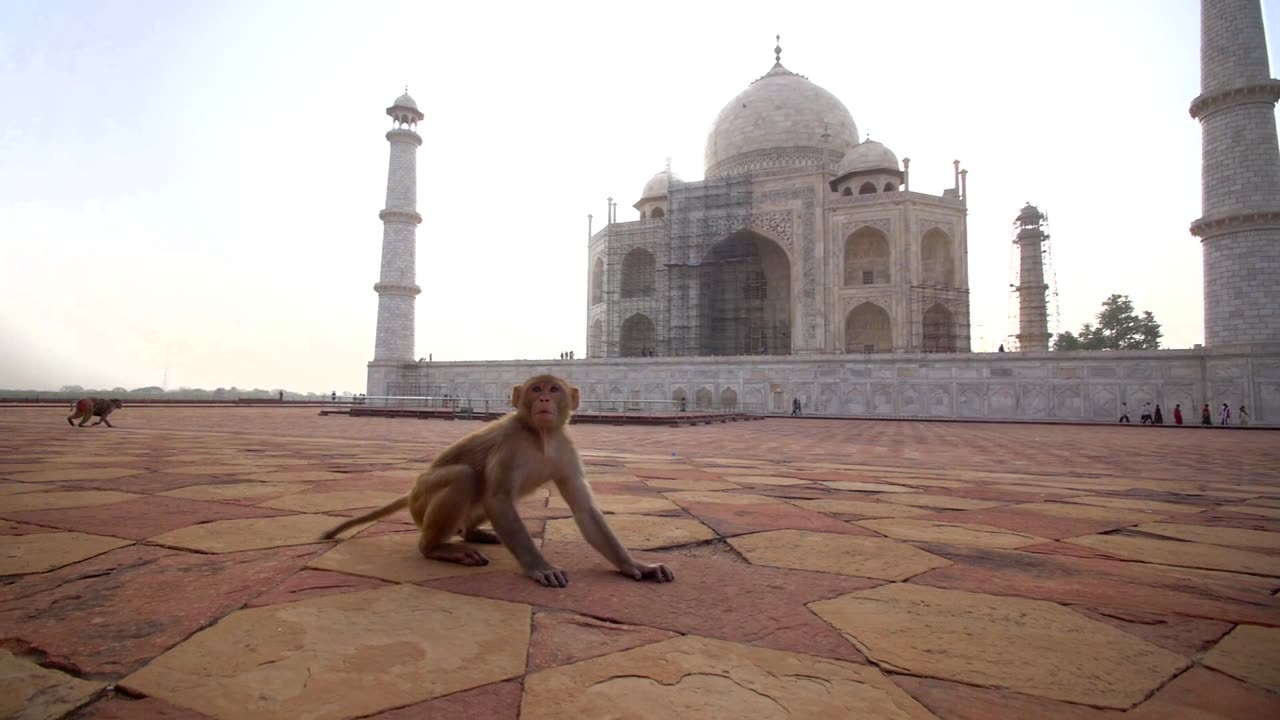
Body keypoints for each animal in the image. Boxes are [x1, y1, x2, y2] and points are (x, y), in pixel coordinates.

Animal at [322, 374, 674, 588]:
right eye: (536, 389)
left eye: (554, 390)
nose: (544, 401)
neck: (539, 436)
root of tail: (411, 493)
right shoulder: (510, 442)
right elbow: (499, 499)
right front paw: (540, 566)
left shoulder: (566, 447)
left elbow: (584, 509)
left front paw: (635, 565)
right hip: (421, 502)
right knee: (465, 478)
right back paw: (438, 548)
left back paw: (473, 533)